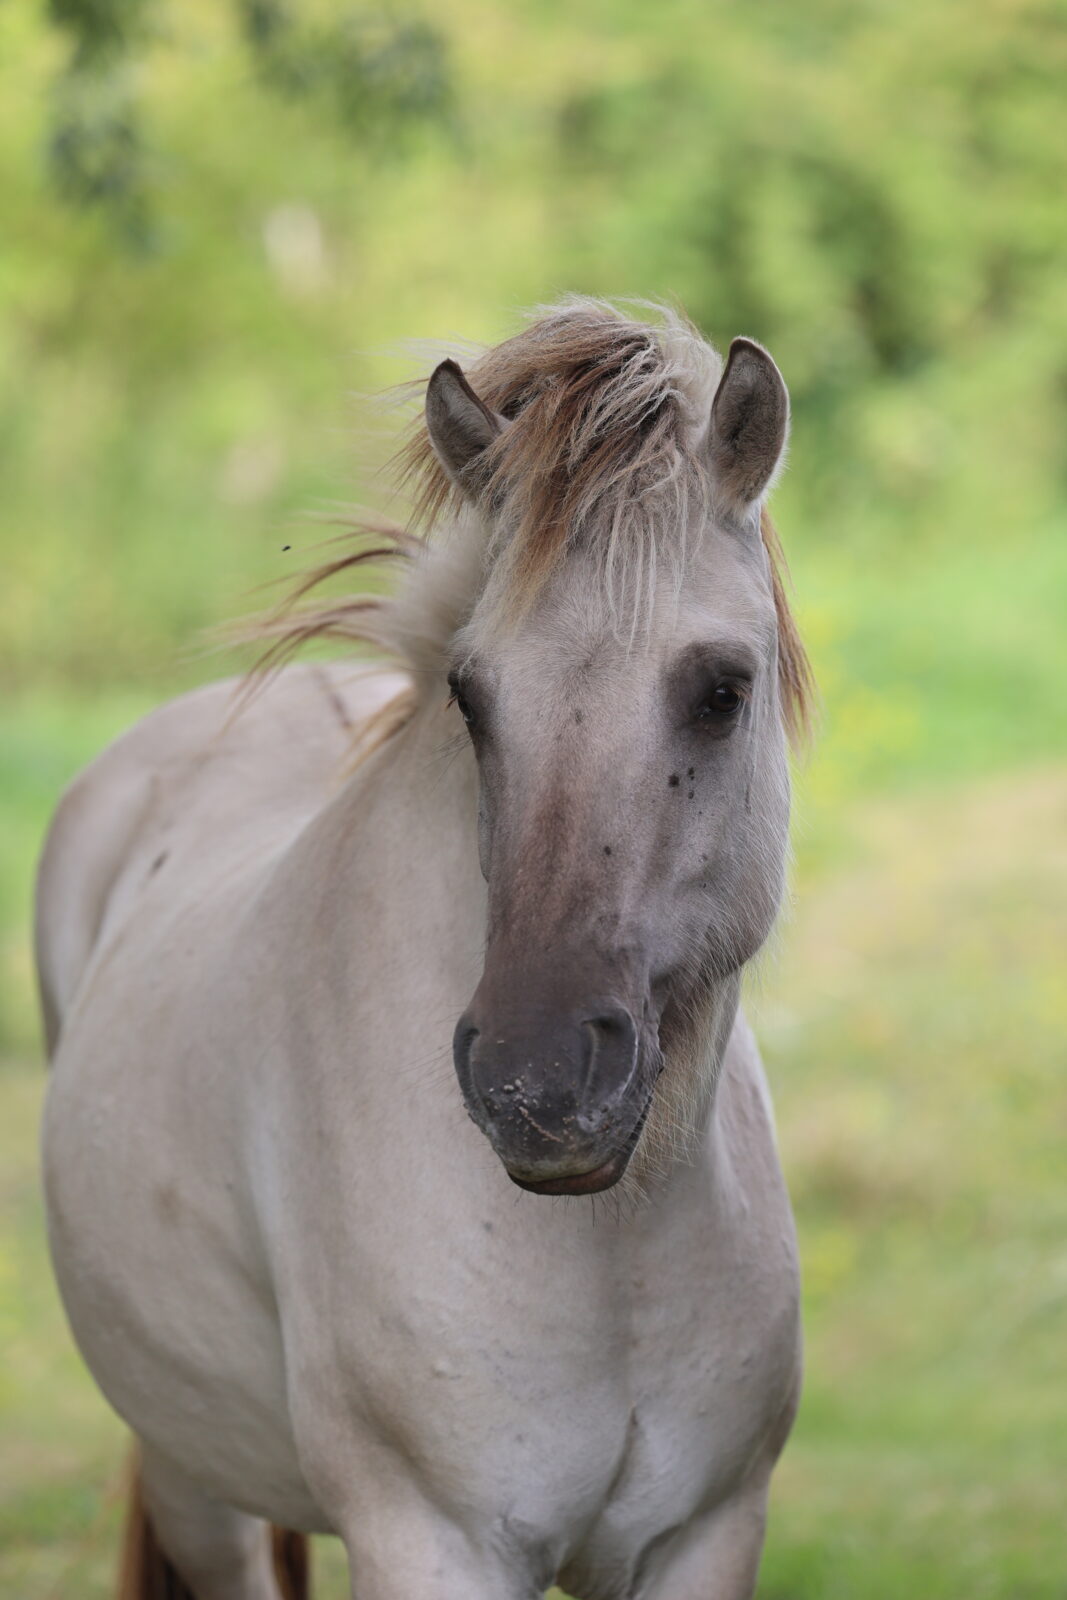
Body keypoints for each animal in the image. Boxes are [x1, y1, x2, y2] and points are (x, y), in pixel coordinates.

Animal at [36, 299, 813, 1600]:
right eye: (471, 694)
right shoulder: (431, 1541)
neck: (612, 1254)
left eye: (719, 689)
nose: (535, 1084)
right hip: (198, 1483)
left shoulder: (702, 1535)